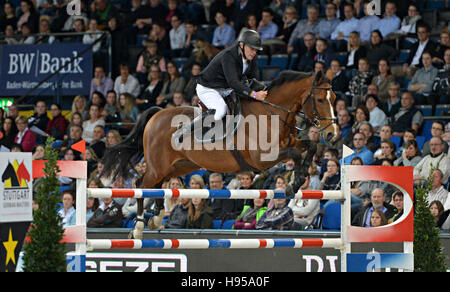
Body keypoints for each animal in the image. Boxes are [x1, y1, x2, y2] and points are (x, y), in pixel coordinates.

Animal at [103, 70, 336, 237]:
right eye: (321, 100)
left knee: (157, 187)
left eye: (334, 97)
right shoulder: (263, 158)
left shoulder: (288, 144)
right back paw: (139, 228)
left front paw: (300, 176)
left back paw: (156, 219)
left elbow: (309, 146)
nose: (332, 133)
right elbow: (296, 154)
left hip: (179, 166)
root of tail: (156, 114)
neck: (272, 113)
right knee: (141, 184)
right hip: (158, 167)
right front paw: (293, 184)